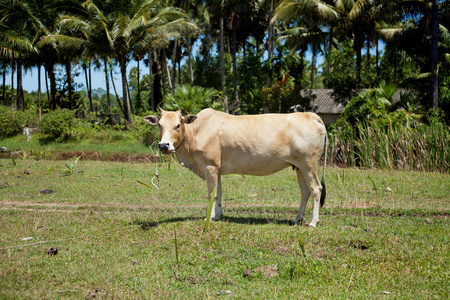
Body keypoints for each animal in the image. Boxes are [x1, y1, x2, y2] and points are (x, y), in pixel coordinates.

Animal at [144, 108, 326, 227]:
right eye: (159, 125)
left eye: (177, 125)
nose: (163, 145)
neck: (196, 131)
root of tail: (309, 115)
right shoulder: (217, 169)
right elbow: (218, 193)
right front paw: (218, 215)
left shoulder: (209, 167)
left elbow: (211, 194)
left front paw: (209, 217)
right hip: (299, 167)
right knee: (305, 191)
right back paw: (296, 219)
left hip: (308, 165)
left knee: (316, 189)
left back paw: (313, 222)